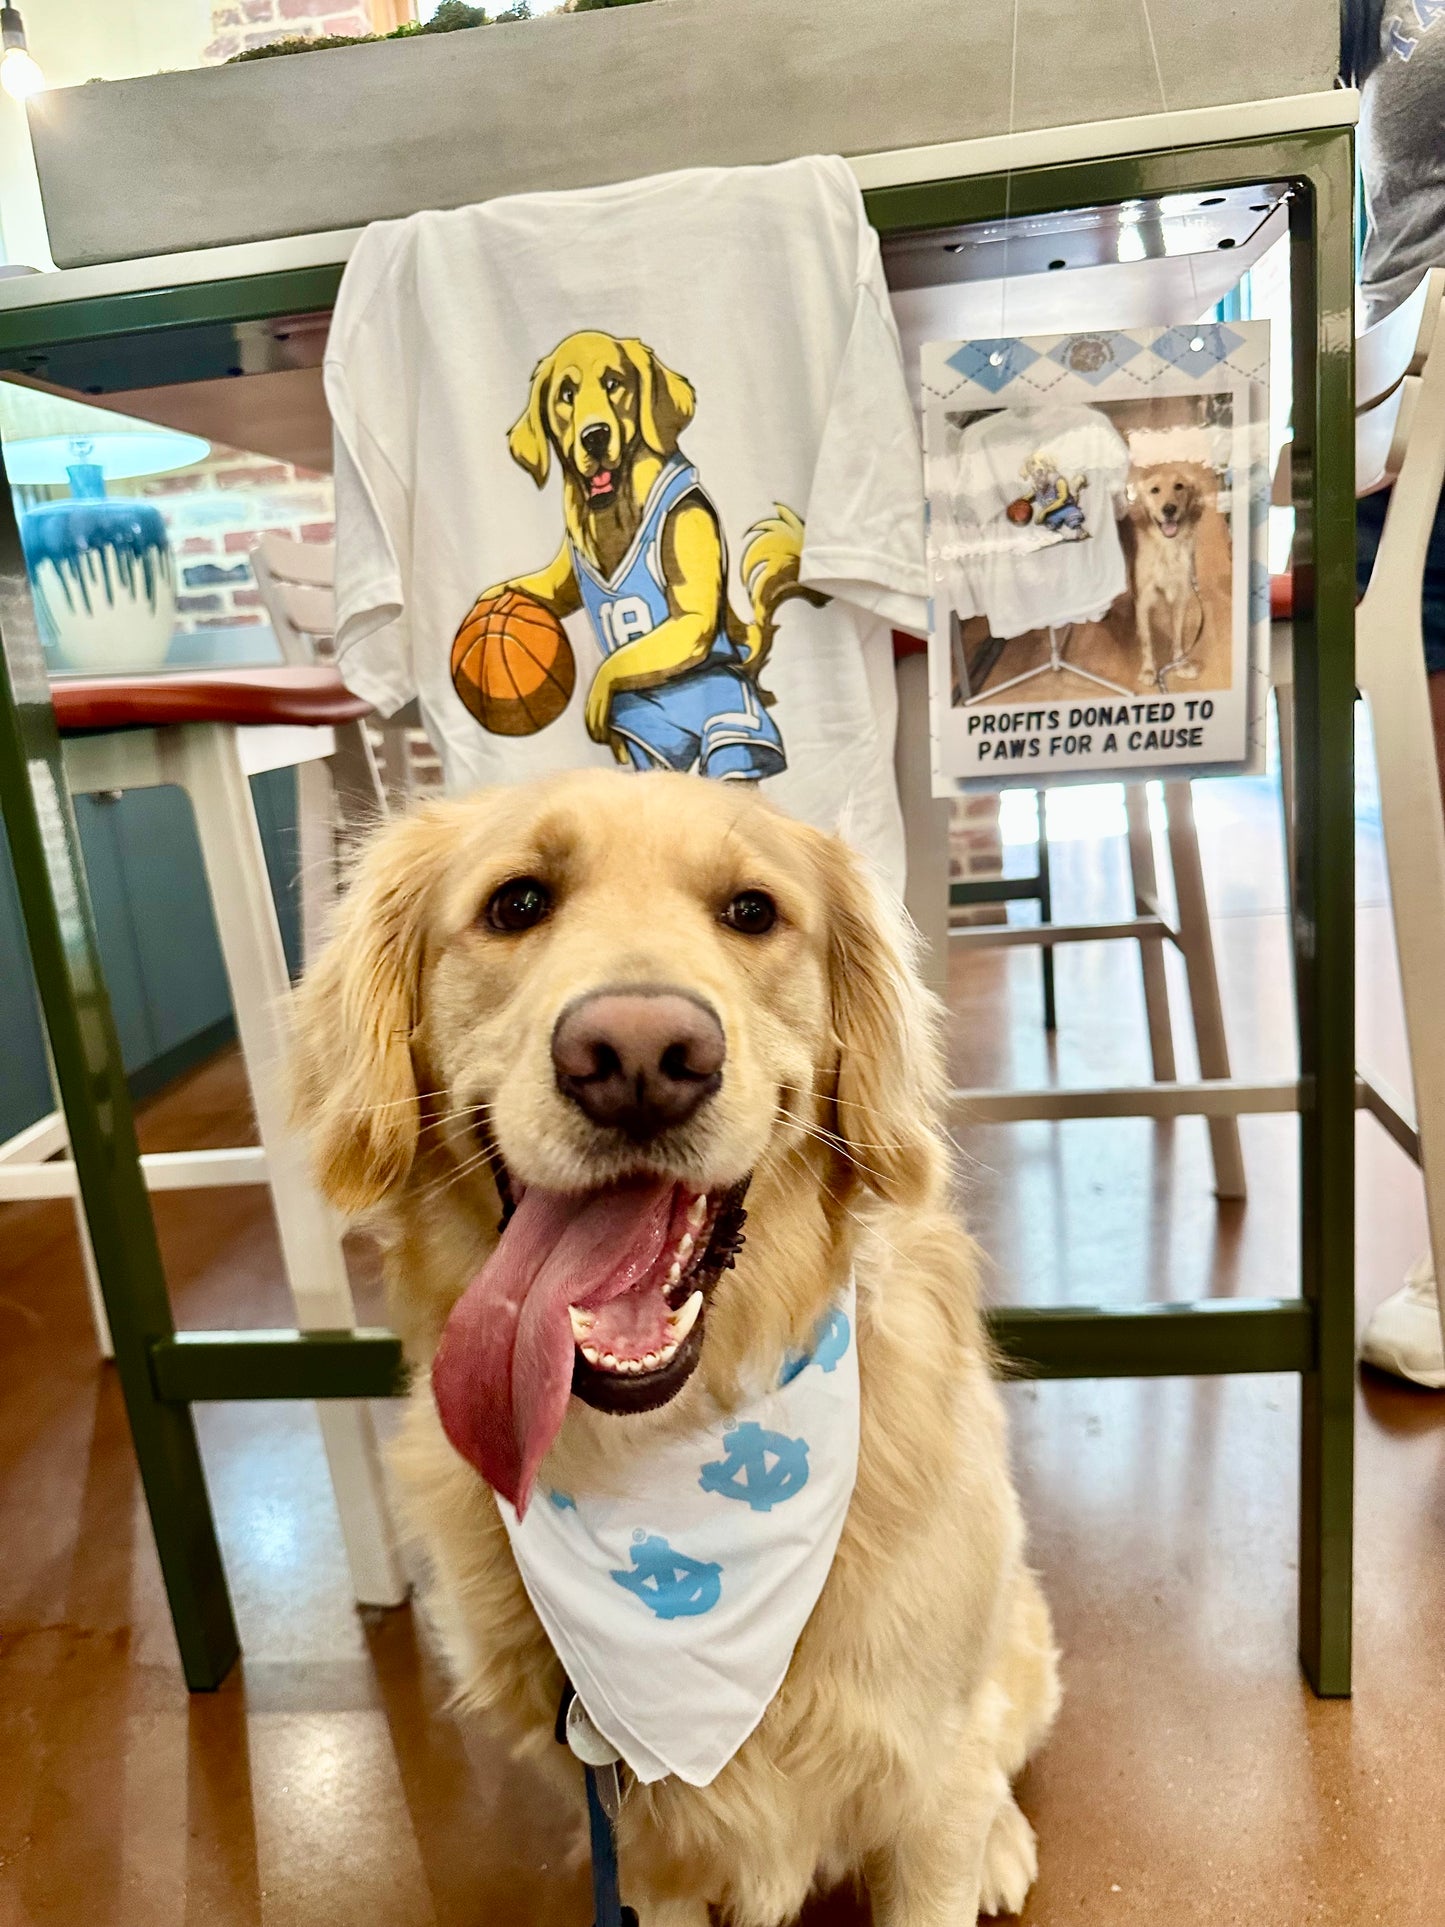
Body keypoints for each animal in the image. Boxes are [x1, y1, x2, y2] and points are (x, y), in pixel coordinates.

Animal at [294, 770, 1063, 1927]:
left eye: (750, 911)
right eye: (517, 903)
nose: (638, 1056)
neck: (669, 1449)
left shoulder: (927, 1781)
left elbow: (946, 1819)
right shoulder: (642, 1836)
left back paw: (1003, 1844)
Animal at [1132, 458, 1209, 686]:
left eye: (1179, 486)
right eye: (1154, 490)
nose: (1169, 509)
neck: (1166, 547)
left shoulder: (1180, 597)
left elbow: (1178, 635)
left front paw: (1179, 664)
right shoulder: (1143, 599)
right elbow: (1147, 641)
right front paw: (1149, 670)